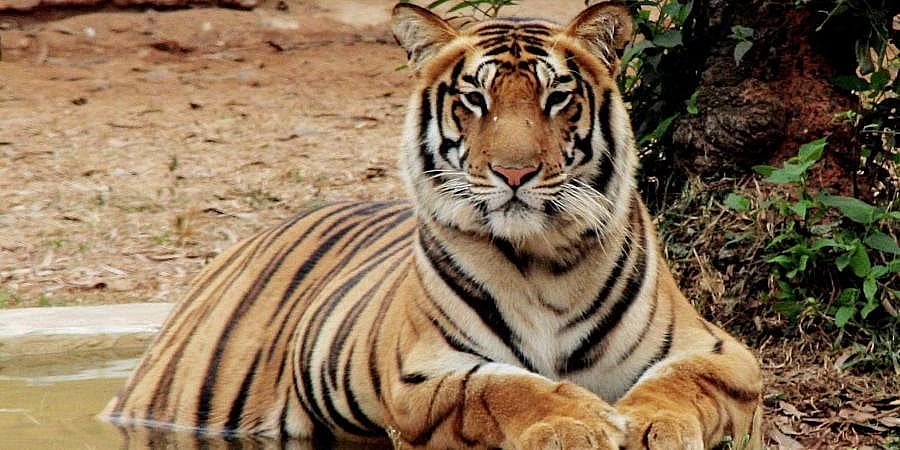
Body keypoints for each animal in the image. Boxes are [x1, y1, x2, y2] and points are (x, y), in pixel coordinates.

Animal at [101, 2, 764, 449]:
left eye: (557, 98)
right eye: (475, 99)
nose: (514, 172)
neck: (543, 258)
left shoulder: (724, 353)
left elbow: (680, 383)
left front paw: (654, 423)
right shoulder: (422, 375)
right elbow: (504, 387)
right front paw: (576, 421)